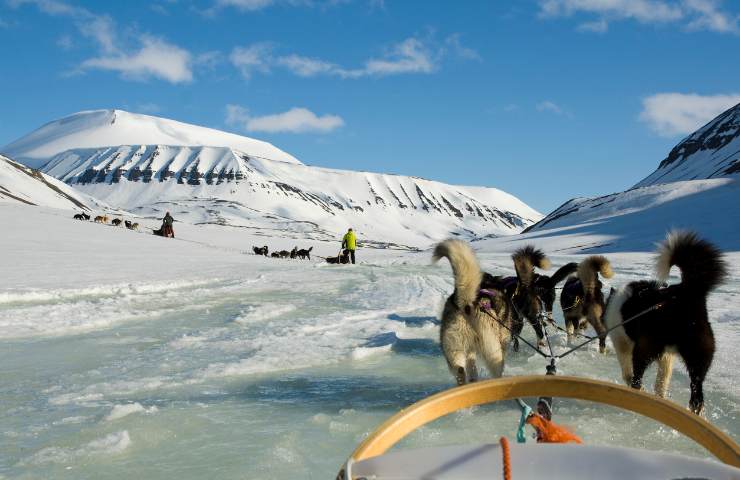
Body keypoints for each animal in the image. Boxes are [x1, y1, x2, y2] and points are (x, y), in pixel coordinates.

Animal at [430, 242, 512, 384]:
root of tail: (467, 305)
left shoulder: (470, 351)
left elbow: (472, 368)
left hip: (453, 349)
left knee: (459, 370)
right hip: (493, 352)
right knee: (497, 371)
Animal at [604, 231, 724, 414]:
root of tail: (687, 291)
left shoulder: (622, 343)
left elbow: (627, 373)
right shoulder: (667, 356)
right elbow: (661, 382)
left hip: (644, 347)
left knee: (637, 377)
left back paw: (638, 392)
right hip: (699, 353)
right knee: (697, 393)